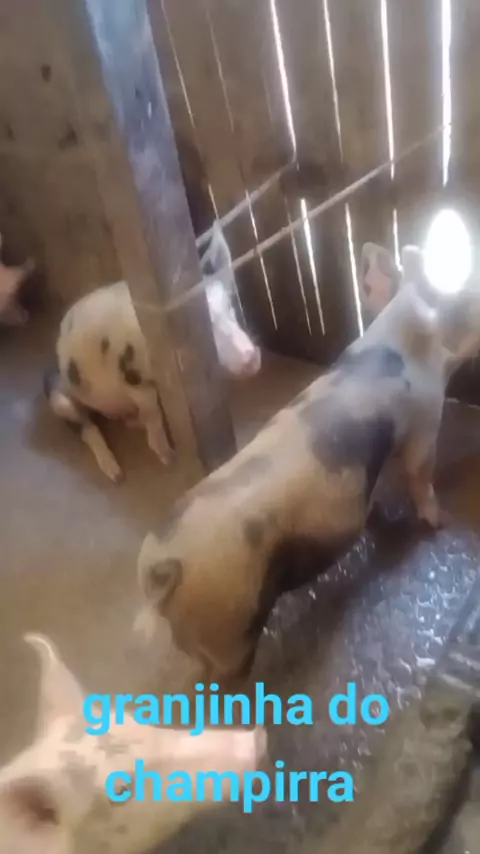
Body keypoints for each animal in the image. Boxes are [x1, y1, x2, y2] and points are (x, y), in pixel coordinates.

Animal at [43, 224, 261, 483]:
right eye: (201, 328)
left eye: (229, 306)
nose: (250, 356)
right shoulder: (131, 377)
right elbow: (152, 411)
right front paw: (170, 458)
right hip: (59, 398)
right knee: (87, 428)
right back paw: (115, 475)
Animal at [134, 240, 480, 683]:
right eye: (467, 296)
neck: (408, 344)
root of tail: (164, 570)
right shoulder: (424, 425)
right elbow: (422, 476)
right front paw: (439, 522)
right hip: (230, 627)